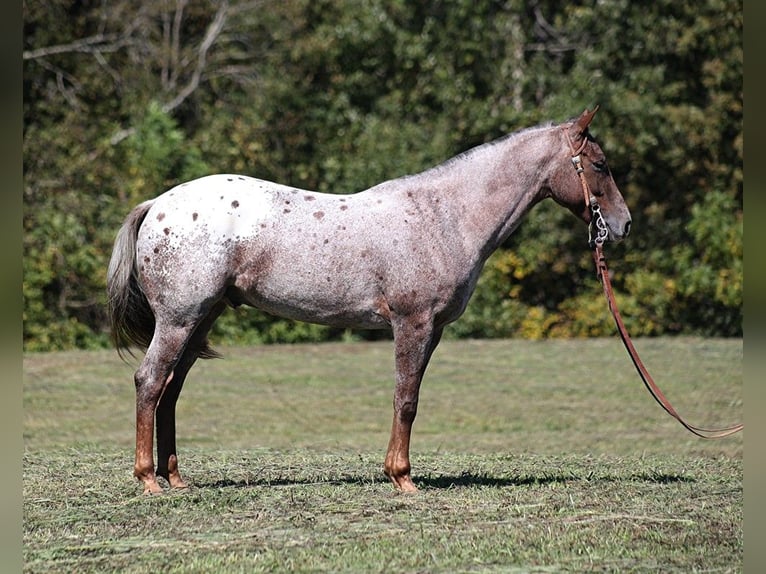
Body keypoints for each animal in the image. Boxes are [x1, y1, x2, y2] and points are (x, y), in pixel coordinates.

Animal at [109, 104, 636, 496]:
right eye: (600, 164)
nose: (623, 224)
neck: (444, 215)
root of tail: (156, 205)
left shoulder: (431, 331)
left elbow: (410, 396)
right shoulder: (413, 324)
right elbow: (406, 399)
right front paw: (403, 479)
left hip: (200, 319)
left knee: (171, 389)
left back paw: (175, 479)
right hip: (179, 320)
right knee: (149, 382)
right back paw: (148, 481)